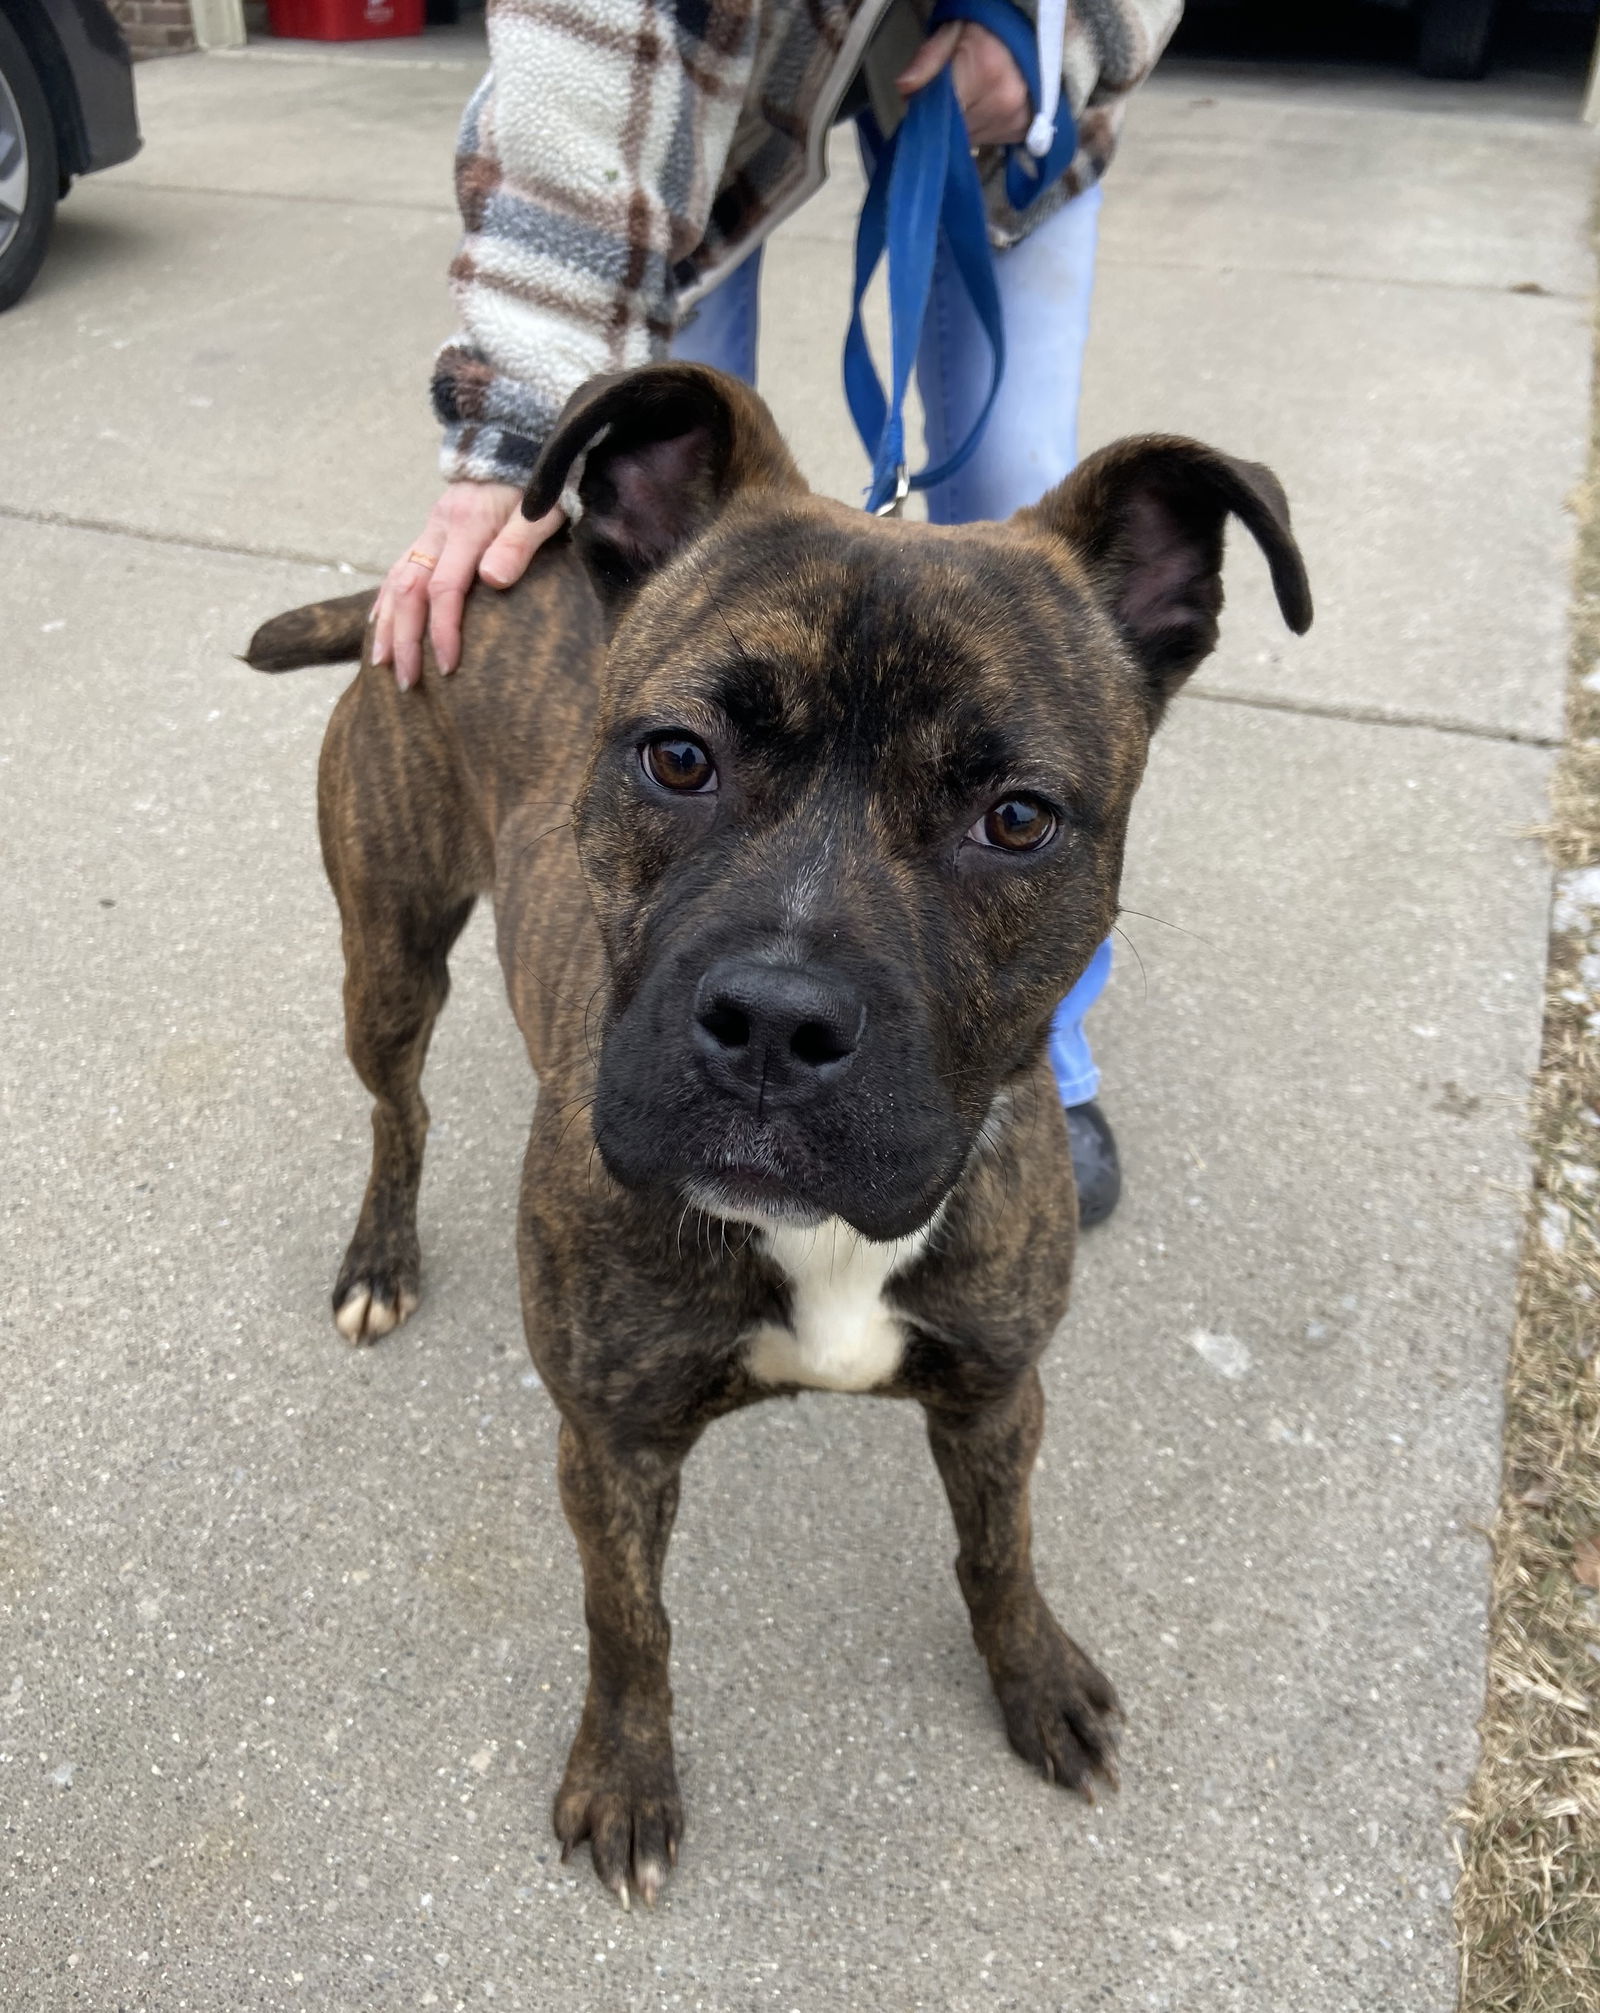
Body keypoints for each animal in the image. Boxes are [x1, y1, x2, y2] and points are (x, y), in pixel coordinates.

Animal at [247, 358, 1312, 1900]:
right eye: (678, 756)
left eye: (1019, 818)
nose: (773, 1020)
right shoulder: (612, 1442)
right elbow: (628, 1621)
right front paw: (626, 1779)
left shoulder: (998, 1393)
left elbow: (1000, 1551)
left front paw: (1034, 1679)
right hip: (387, 963)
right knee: (401, 1112)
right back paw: (381, 1255)